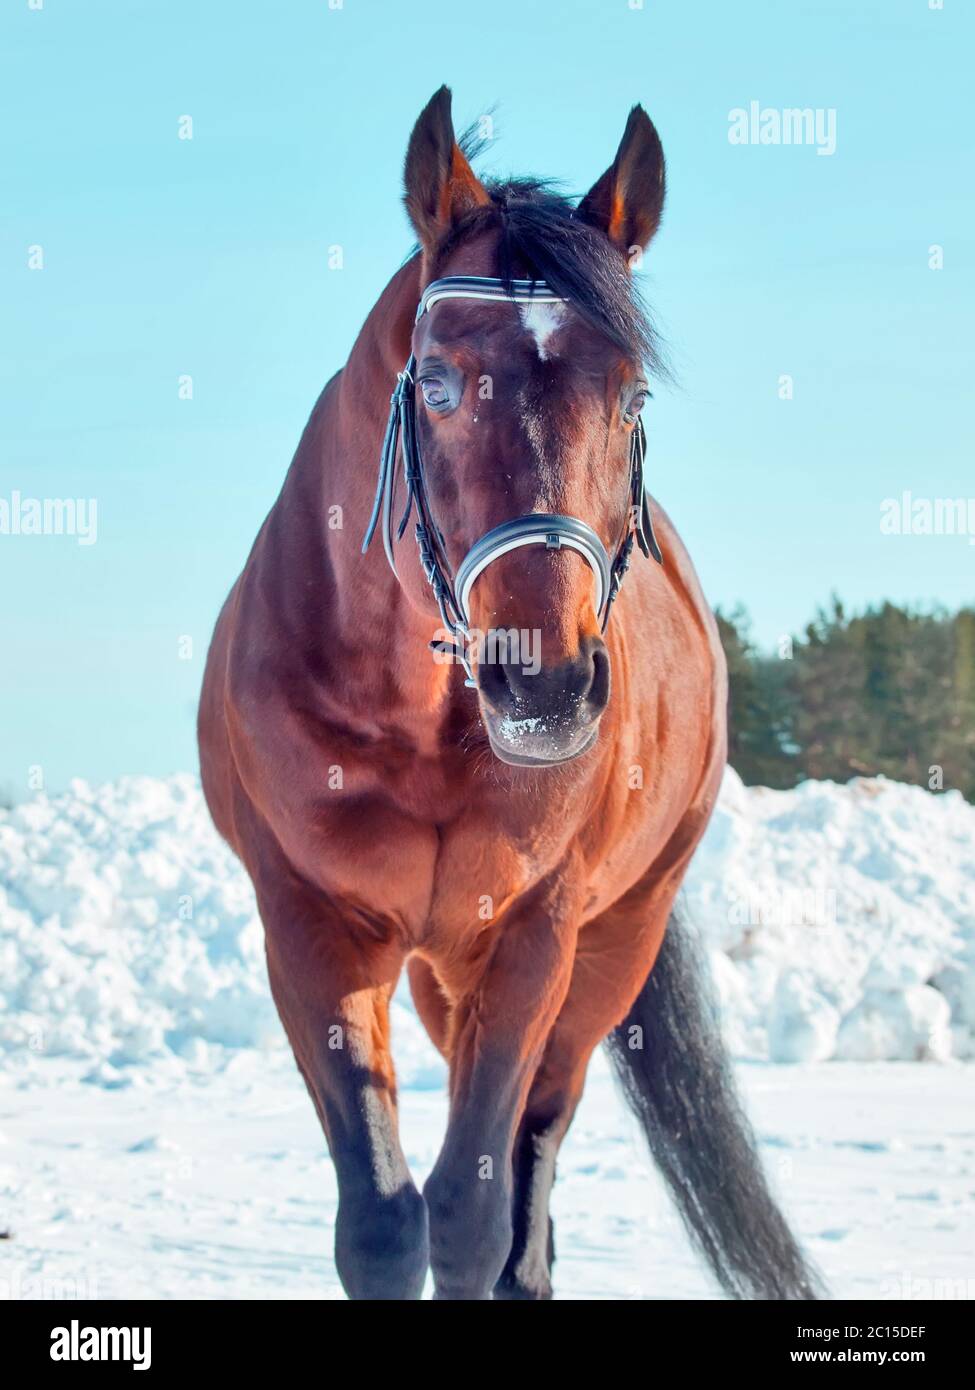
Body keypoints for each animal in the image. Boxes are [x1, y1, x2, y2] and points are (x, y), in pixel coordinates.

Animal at [200, 86, 823, 1301]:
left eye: (631, 395)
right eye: (438, 383)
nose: (547, 682)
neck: (411, 719)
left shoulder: (535, 933)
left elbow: (474, 1212)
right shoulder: (309, 925)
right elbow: (383, 1224)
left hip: (612, 944)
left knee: (534, 1156)